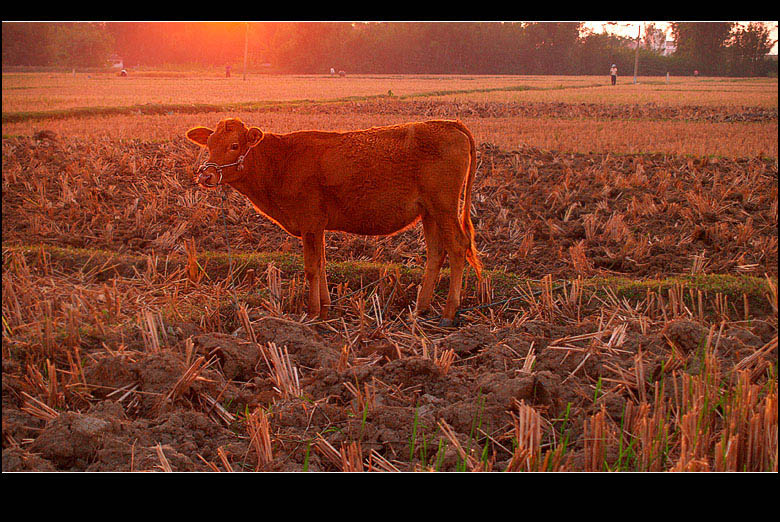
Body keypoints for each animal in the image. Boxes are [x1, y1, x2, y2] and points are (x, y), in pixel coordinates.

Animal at [189, 117, 482, 324]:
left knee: (458, 247)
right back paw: (420, 309)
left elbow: (311, 267)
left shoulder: (309, 221)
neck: (280, 162)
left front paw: (312, 313)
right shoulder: (316, 225)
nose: (206, 176)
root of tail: (448, 123)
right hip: (429, 211)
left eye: (234, 146)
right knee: (436, 253)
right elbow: (321, 264)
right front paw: (326, 308)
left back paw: (448, 312)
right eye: (209, 144)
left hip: (444, 207)